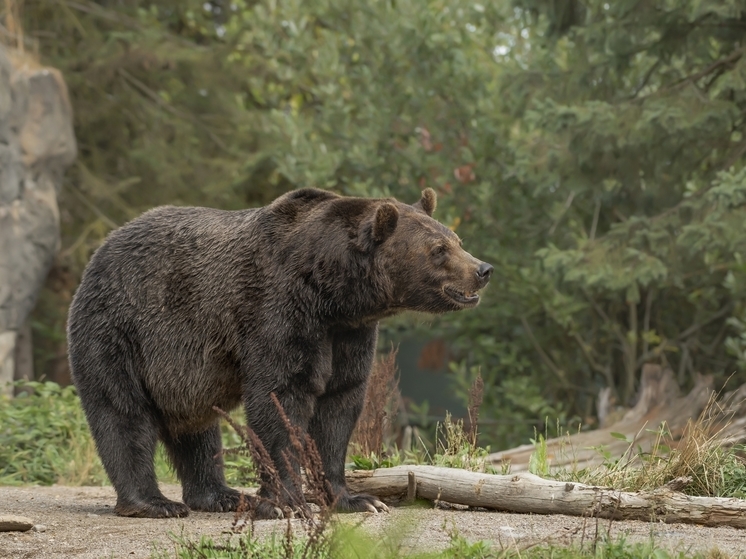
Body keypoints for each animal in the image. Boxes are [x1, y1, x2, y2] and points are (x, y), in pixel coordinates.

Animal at [67, 189, 492, 520]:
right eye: (438, 250)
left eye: (456, 239)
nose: (483, 269)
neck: (332, 293)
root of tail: (100, 251)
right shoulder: (278, 310)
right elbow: (280, 400)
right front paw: (287, 503)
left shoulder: (348, 334)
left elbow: (339, 406)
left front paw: (356, 499)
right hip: (121, 329)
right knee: (123, 413)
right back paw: (153, 503)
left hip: (181, 372)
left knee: (198, 429)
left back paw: (221, 495)